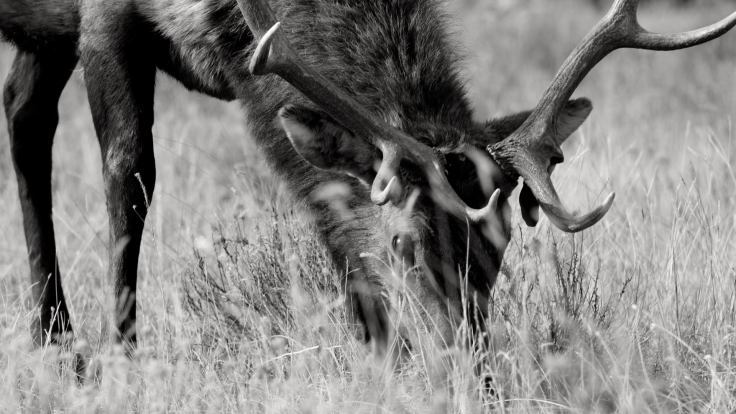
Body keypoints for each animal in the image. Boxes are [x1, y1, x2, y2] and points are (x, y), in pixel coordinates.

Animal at [1, 0, 734, 369]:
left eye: (498, 250)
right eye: (405, 246)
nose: (471, 369)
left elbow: (331, 224)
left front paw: (377, 357)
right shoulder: (103, 16)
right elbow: (129, 174)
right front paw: (124, 357)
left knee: (22, 112)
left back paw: (49, 334)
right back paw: (60, 338)